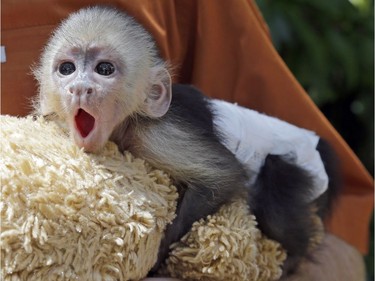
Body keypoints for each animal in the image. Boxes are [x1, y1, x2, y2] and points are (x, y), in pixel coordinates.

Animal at [33, 6, 342, 276]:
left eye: (105, 69)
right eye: (67, 69)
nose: (79, 88)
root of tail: (318, 145)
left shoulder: (156, 134)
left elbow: (223, 175)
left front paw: (158, 258)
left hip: (298, 165)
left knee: (276, 196)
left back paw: (293, 257)